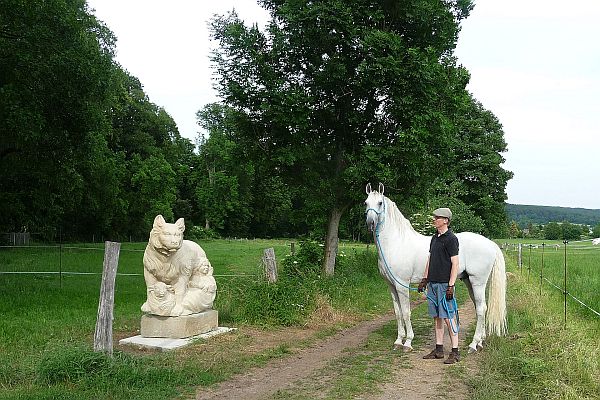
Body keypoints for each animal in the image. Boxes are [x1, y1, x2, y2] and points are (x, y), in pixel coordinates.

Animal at [364, 183, 508, 352]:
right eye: (366, 202)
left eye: (380, 203)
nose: (370, 223)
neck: (396, 243)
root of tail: (490, 244)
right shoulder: (391, 286)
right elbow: (398, 313)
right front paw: (398, 341)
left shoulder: (402, 285)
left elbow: (406, 312)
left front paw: (408, 342)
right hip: (469, 281)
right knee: (479, 307)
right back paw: (480, 341)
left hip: (477, 282)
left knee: (481, 309)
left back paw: (473, 344)